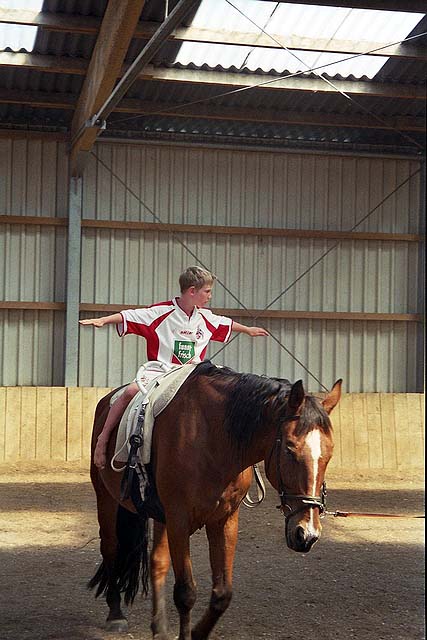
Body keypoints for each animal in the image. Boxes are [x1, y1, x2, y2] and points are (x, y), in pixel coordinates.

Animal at [88, 362, 342, 636]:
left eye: (330, 453)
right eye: (289, 449)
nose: (307, 534)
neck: (213, 437)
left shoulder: (224, 519)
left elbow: (222, 594)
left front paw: (197, 632)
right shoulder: (179, 519)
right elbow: (186, 593)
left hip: (160, 515)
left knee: (157, 561)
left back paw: (159, 628)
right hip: (107, 498)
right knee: (111, 548)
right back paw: (115, 614)